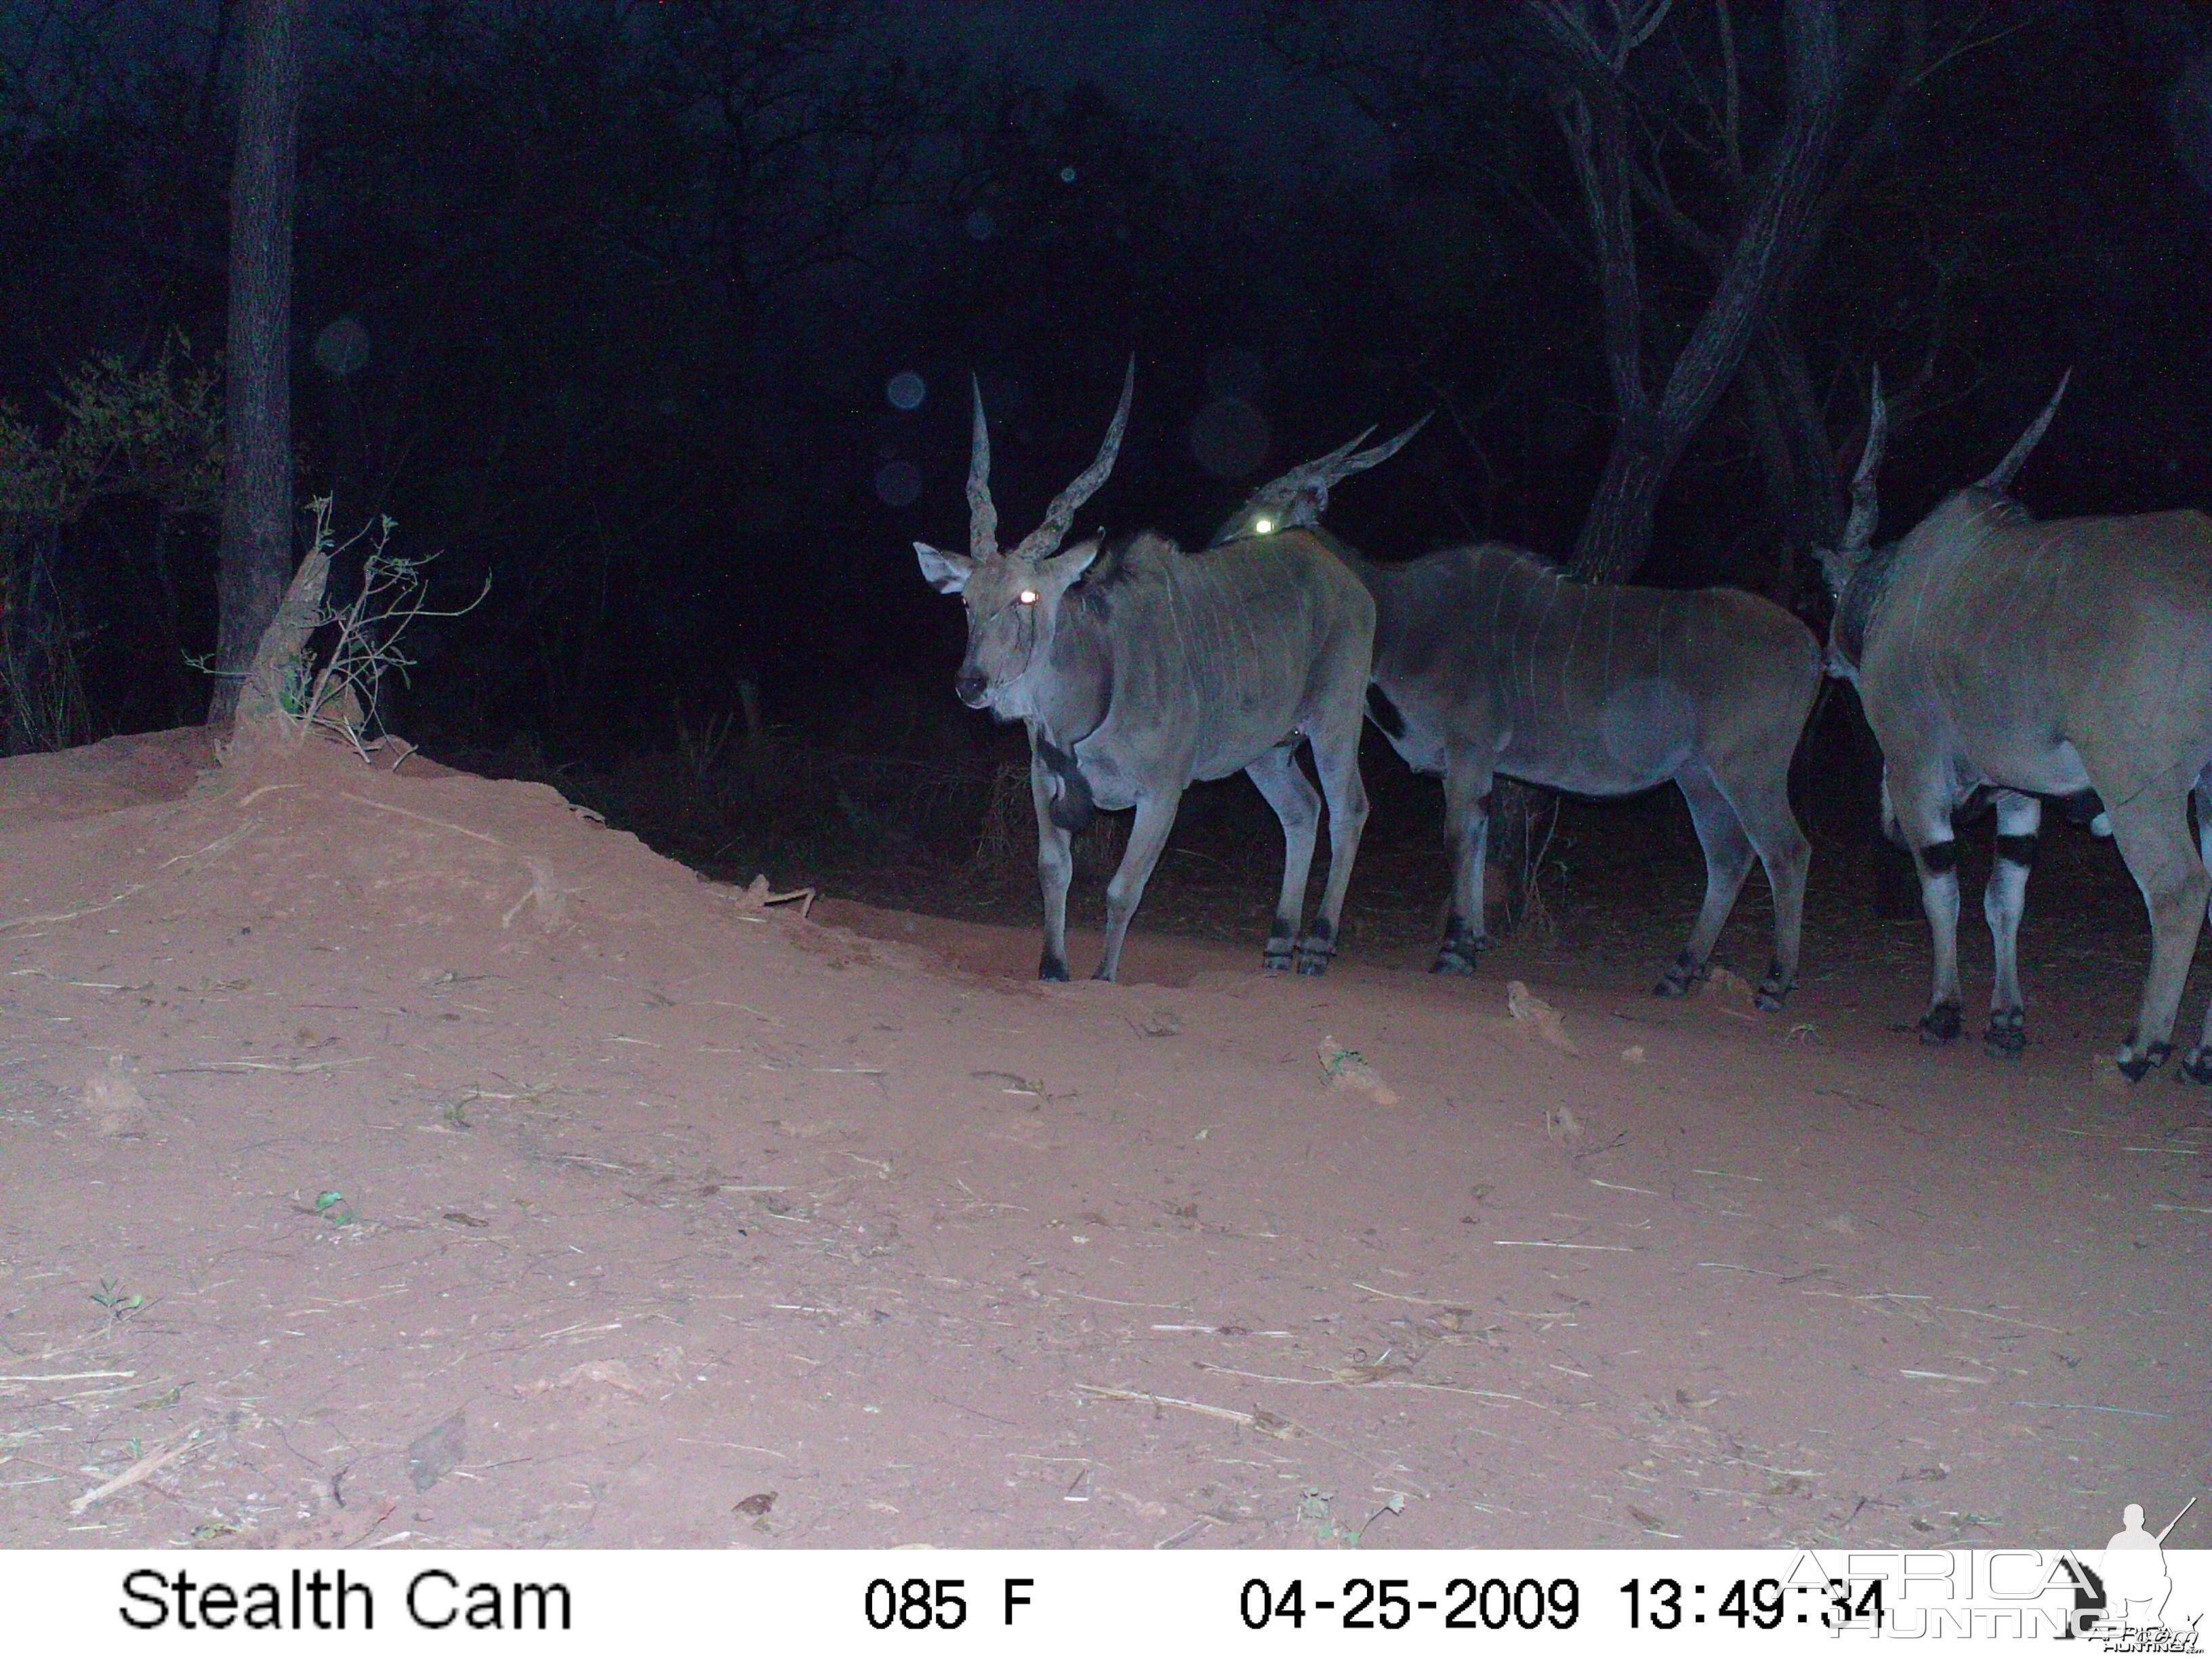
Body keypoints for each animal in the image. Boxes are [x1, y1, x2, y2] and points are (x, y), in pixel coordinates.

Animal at [911, 365, 1362, 986]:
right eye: (966, 602)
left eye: (1026, 596)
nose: (971, 684)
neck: (1097, 682)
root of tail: (1348, 578)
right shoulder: (1044, 782)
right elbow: (1054, 869)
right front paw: (1053, 969)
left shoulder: (1162, 794)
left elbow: (1123, 890)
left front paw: (1103, 978)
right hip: (1267, 751)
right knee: (1303, 811)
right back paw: (1277, 945)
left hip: (1335, 723)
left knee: (1348, 809)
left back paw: (1317, 944)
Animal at [1221, 429, 1822, 1012]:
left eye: (1264, 519)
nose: (1218, 547)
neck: (1403, 611)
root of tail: (1812, 648)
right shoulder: (1480, 765)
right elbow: (1480, 839)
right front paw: (1474, 945)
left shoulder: (1468, 750)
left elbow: (1458, 837)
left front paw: (1453, 951)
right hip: (1698, 775)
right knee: (1728, 856)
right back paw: (1678, 974)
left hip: (1749, 769)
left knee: (1786, 851)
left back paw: (1775, 985)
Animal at [1822, 371, 2212, 1084]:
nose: (1886, 824)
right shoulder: (2017, 793)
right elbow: (2005, 896)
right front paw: (2006, 1022)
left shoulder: (1918, 770)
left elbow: (1943, 887)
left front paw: (1943, 1013)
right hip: (2205, 790)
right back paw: (2199, 1057)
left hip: (2140, 787)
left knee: (2178, 889)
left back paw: (2139, 1048)